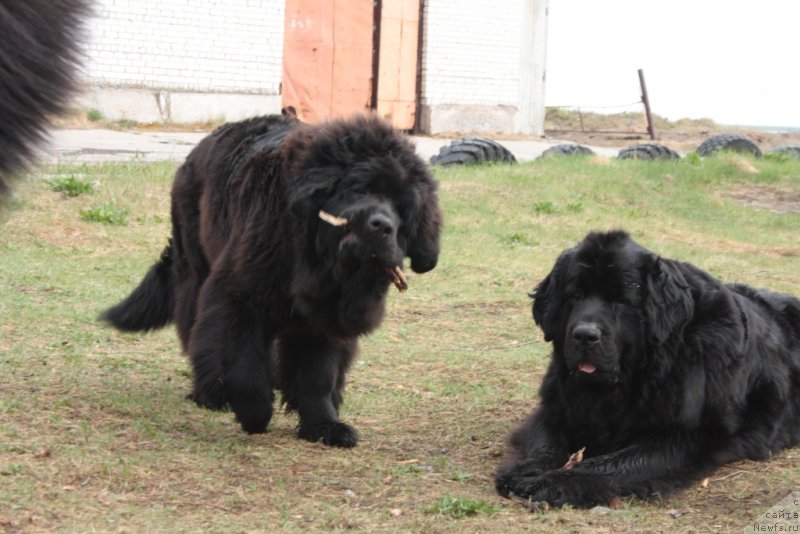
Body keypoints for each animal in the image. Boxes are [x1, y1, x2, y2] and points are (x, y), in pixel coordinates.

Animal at [101, 113, 444, 448]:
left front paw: (324, 425)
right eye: (360, 188)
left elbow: (318, 376)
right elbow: (244, 366)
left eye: (403, 209)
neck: (314, 262)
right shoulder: (239, 298)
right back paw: (210, 393)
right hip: (194, 266)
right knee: (195, 330)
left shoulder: (326, 319)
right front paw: (255, 412)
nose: (382, 226)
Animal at [494, 230, 800, 506]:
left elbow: (614, 464)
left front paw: (555, 483)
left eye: (621, 300)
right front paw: (527, 470)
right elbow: (547, 443)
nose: (585, 335)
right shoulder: (556, 408)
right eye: (576, 295)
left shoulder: (686, 437)